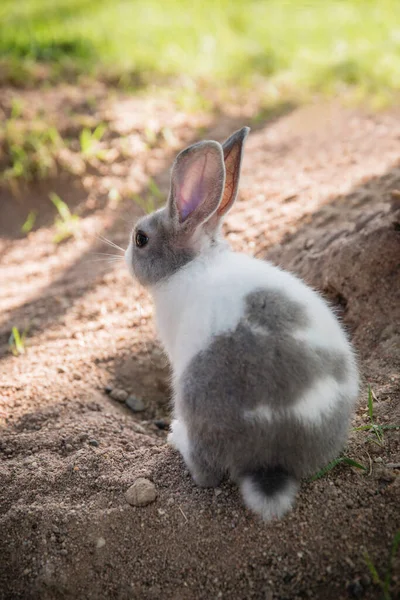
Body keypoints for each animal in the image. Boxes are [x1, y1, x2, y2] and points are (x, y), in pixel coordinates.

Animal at [125, 126, 360, 520]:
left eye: (141, 239)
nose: (126, 257)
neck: (192, 264)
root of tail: (271, 462)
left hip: (193, 394)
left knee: (205, 473)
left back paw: (177, 437)